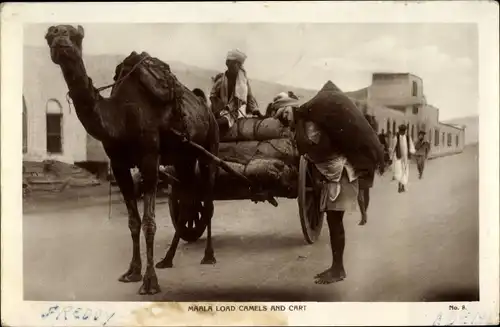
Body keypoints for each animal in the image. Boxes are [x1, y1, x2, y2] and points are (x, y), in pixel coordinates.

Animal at [46, 24, 220, 296]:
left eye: (76, 36)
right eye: (49, 35)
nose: (60, 41)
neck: (121, 116)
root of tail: (206, 107)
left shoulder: (149, 159)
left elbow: (149, 222)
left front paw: (150, 282)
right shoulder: (118, 165)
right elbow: (133, 221)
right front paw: (132, 272)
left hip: (209, 148)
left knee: (208, 201)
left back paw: (208, 255)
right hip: (183, 157)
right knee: (188, 203)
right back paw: (167, 259)